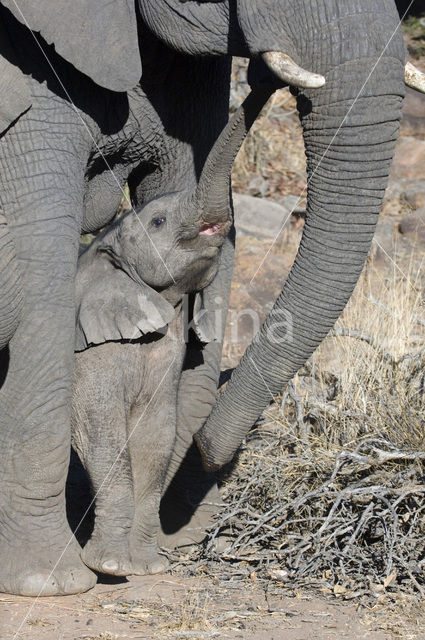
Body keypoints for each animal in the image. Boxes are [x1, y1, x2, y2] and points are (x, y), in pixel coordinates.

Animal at [0, 0, 420, 596]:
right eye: (155, 223)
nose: (266, 77)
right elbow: (101, 427)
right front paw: (64, 581)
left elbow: (154, 439)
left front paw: (151, 563)